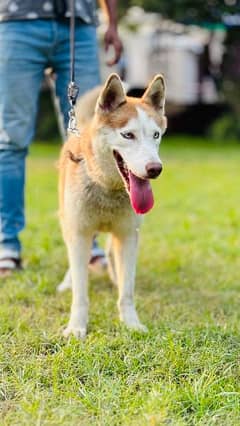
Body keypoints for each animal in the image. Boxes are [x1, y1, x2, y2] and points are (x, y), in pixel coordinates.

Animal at [58, 74, 167, 340]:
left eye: (156, 135)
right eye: (128, 135)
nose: (155, 169)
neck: (108, 187)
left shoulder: (128, 235)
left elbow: (127, 291)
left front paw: (131, 324)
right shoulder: (79, 234)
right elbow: (80, 293)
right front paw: (76, 327)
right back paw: (67, 282)